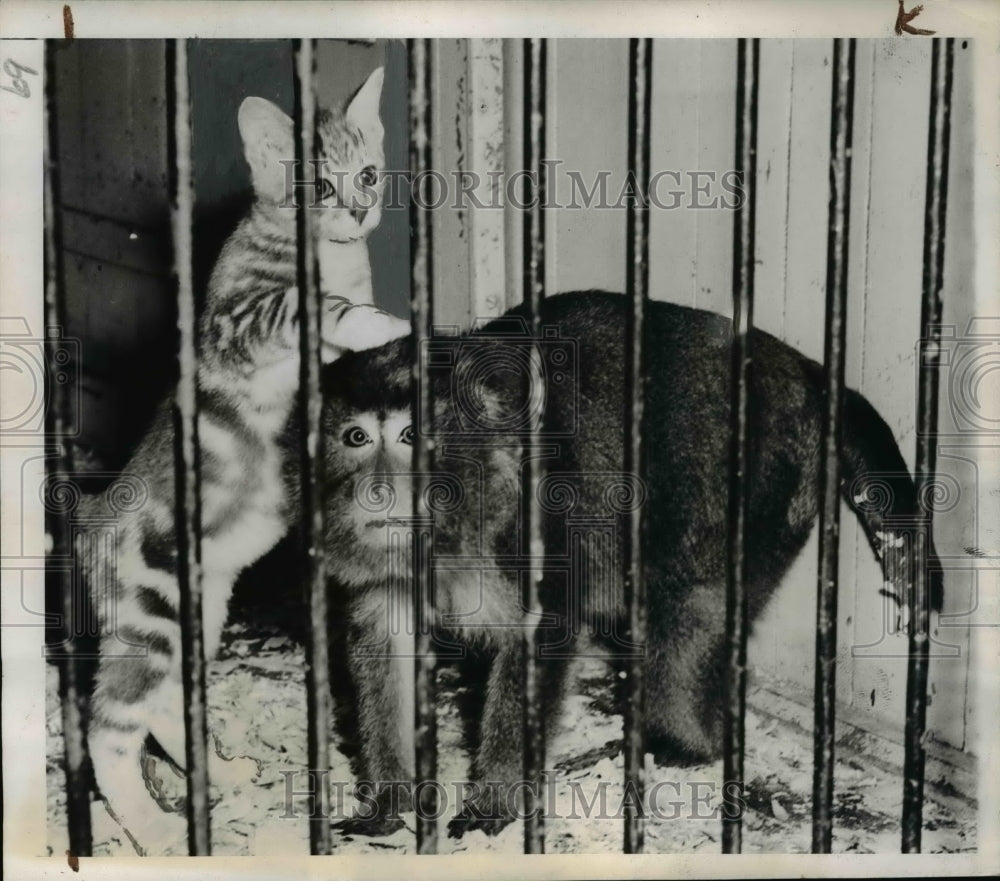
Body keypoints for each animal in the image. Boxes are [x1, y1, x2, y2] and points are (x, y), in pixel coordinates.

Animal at [76, 69, 408, 852]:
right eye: (319, 185)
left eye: (368, 172)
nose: (360, 207)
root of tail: (90, 524)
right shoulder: (236, 322)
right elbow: (309, 305)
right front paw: (372, 320)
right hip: (153, 616)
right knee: (108, 727)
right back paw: (150, 830)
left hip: (198, 615)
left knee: (165, 704)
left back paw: (217, 773)